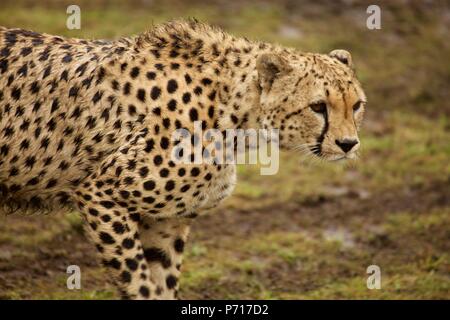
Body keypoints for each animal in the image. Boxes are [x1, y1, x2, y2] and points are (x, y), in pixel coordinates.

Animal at [0, 20, 366, 298]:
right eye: (318, 106)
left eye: (357, 105)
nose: (348, 144)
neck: (232, 111)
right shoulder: (99, 194)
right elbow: (140, 284)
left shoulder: (165, 220)